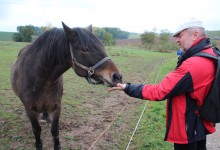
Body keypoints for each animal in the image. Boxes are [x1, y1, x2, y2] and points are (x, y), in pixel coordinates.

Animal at [10, 22, 122, 150]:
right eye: (85, 49)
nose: (117, 76)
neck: (40, 80)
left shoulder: (57, 107)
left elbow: (55, 130)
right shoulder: (30, 110)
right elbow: (36, 130)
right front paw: (38, 145)